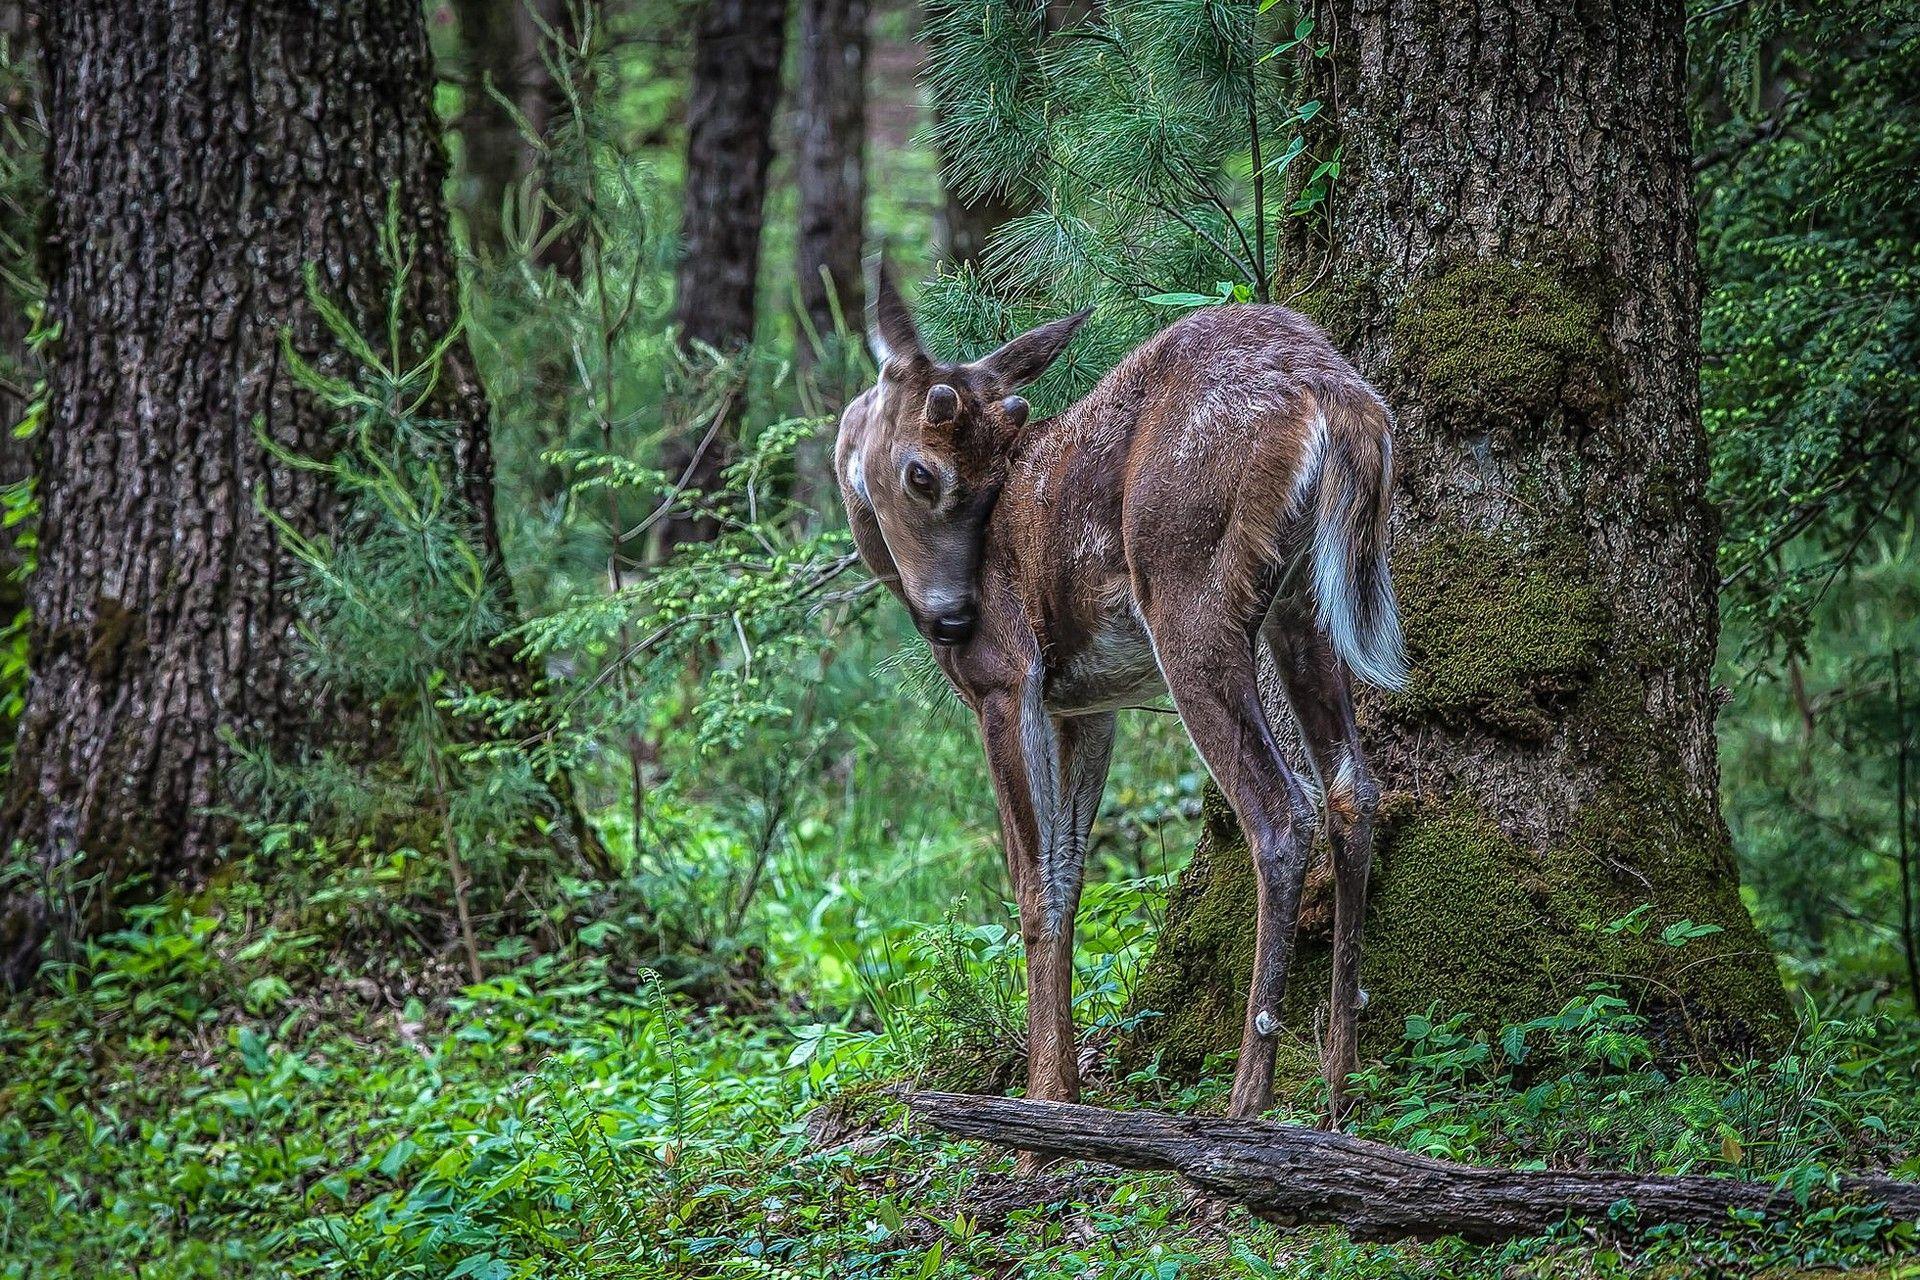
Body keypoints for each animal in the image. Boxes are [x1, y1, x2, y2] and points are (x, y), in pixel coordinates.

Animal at [833, 262, 1405, 1128]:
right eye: (926, 472)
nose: (956, 619)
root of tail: (1335, 392)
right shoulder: (1086, 704)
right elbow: (1070, 876)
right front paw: (1065, 1094)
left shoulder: (1010, 681)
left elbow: (1033, 886)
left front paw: (1039, 1116)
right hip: (1304, 603)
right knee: (1352, 790)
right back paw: (1339, 1088)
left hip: (1188, 586)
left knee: (1280, 811)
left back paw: (1246, 1099)